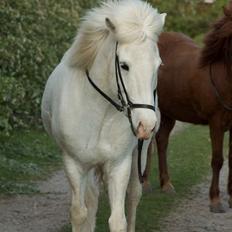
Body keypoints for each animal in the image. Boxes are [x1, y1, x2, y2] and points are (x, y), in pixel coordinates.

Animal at [41, 0, 165, 231]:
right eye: (124, 65)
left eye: (158, 65)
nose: (146, 125)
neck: (99, 110)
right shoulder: (74, 164)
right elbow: (80, 214)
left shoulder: (119, 165)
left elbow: (118, 220)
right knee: (91, 201)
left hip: (139, 154)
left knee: (133, 196)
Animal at [144, 1, 232, 213]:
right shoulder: (216, 123)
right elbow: (218, 160)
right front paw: (215, 200)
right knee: (147, 144)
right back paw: (145, 185)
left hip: (169, 112)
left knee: (162, 141)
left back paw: (166, 184)